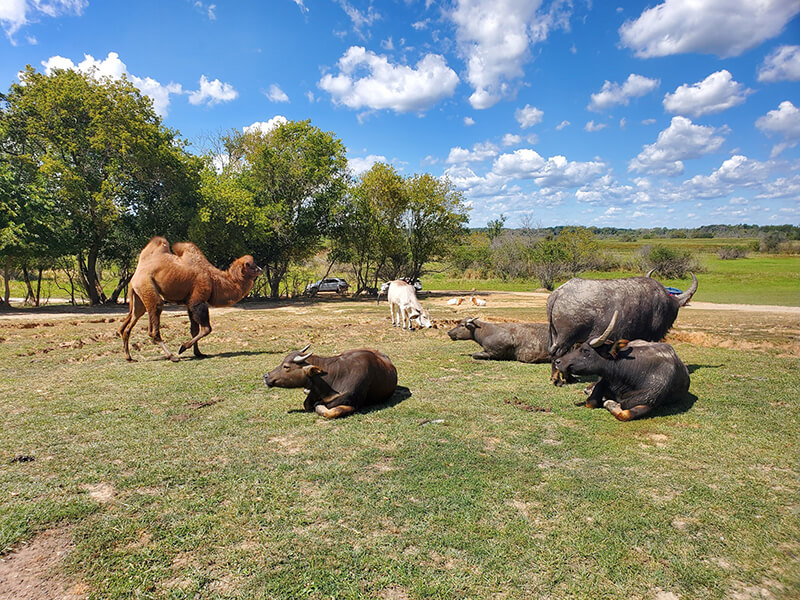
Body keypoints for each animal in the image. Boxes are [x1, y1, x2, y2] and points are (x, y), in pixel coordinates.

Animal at [119, 237, 262, 360]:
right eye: (251, 265)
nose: (261, 269)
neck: (215, 280)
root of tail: (135, 276)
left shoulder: (189, 303)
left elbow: (194, 330)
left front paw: (198, 353)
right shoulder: (198, 300)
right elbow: (206, 329)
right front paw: (182, 347)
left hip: (139, 295)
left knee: (130, 322)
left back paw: (129, 357)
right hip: (147, 286)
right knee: (154, 319)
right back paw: (172, 356)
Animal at [264, 344, 398, 420]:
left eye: (286, 366)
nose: (266, 376)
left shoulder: (354, 403)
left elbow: (332, 411)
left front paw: (319, 406)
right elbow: (307, 404)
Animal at [552, 310, 692, 422]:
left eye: (586, 351)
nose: (558, 362)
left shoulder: (649, 402)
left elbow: (625, 414)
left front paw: (610, 403)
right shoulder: (604, 380)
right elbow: (591, 402)